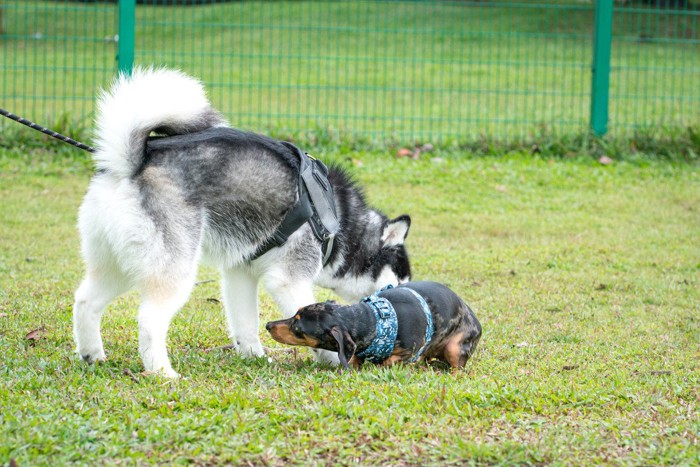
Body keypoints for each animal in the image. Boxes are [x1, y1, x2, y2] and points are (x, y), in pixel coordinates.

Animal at [72, 67, 410, 378]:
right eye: (397, 282)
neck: (339, 220)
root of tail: (129, 164)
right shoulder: (288, 279)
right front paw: (333, 359)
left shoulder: (240, 272)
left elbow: (246, 323)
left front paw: (254, 356)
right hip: (174, 268)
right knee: (149, 320)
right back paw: (162, 372)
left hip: (117, 264)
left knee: (86, 300)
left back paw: (93, 356)